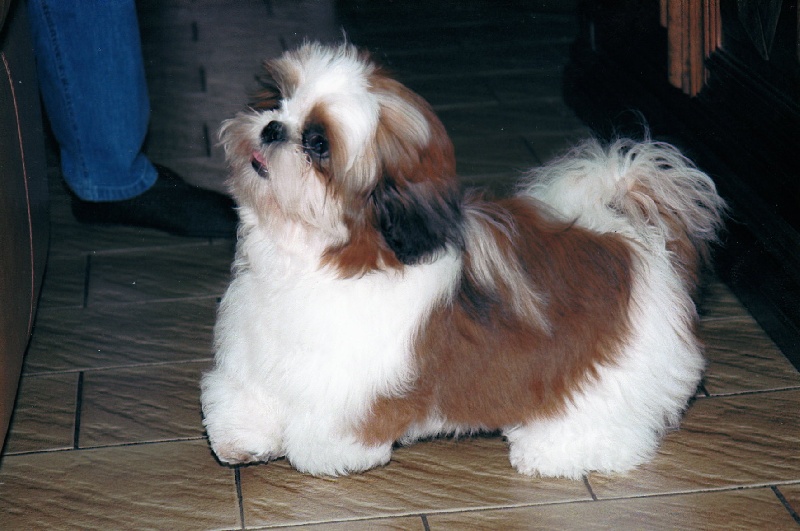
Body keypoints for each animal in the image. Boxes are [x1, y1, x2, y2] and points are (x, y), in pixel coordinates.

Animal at [198, 43, 724, 480]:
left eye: (318, 143)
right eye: (276, 98)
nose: (271, 127)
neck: (314, 251)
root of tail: (635, 236)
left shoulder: (351, 385)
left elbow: (331, 426)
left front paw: (322, 454)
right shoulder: (259, 352)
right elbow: (245, 394)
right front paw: (241, 438)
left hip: (612, 370)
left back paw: (553, 450)